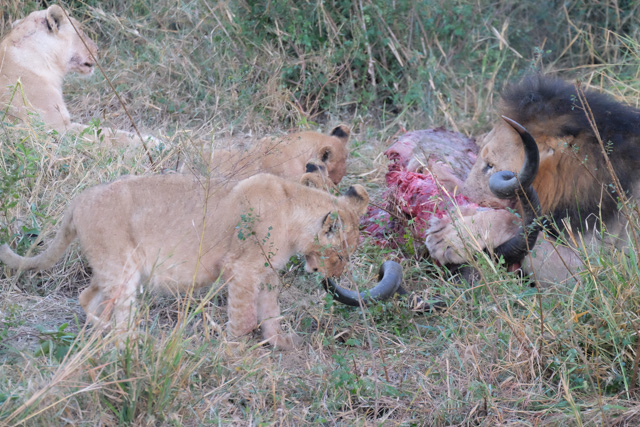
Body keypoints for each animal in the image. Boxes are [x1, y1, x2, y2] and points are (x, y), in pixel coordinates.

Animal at [0, 172, 369, 349]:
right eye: (341, 255)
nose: (332, 275)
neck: (293, 208)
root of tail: (79, 199)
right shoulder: (241, 268)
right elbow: (245, 315)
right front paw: (235, 349)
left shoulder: (266, 273)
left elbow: (271, 312)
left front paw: (280, 343)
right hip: (122, 268)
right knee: (114, 313)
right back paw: (132, 342)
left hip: (113, 268)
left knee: (87, 296)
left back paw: (104, 335)